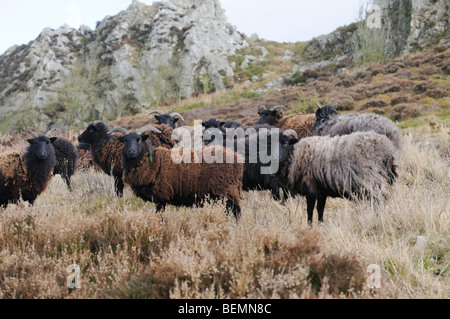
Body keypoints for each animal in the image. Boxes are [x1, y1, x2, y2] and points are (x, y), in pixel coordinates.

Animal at [109, 126, 244, 221]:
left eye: (139, 140)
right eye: (125, 140)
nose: (131, 151)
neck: (151, 162)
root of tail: (237, 160)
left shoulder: (161, 197)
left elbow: (159, 217)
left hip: (227, 190)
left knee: (236, 211)